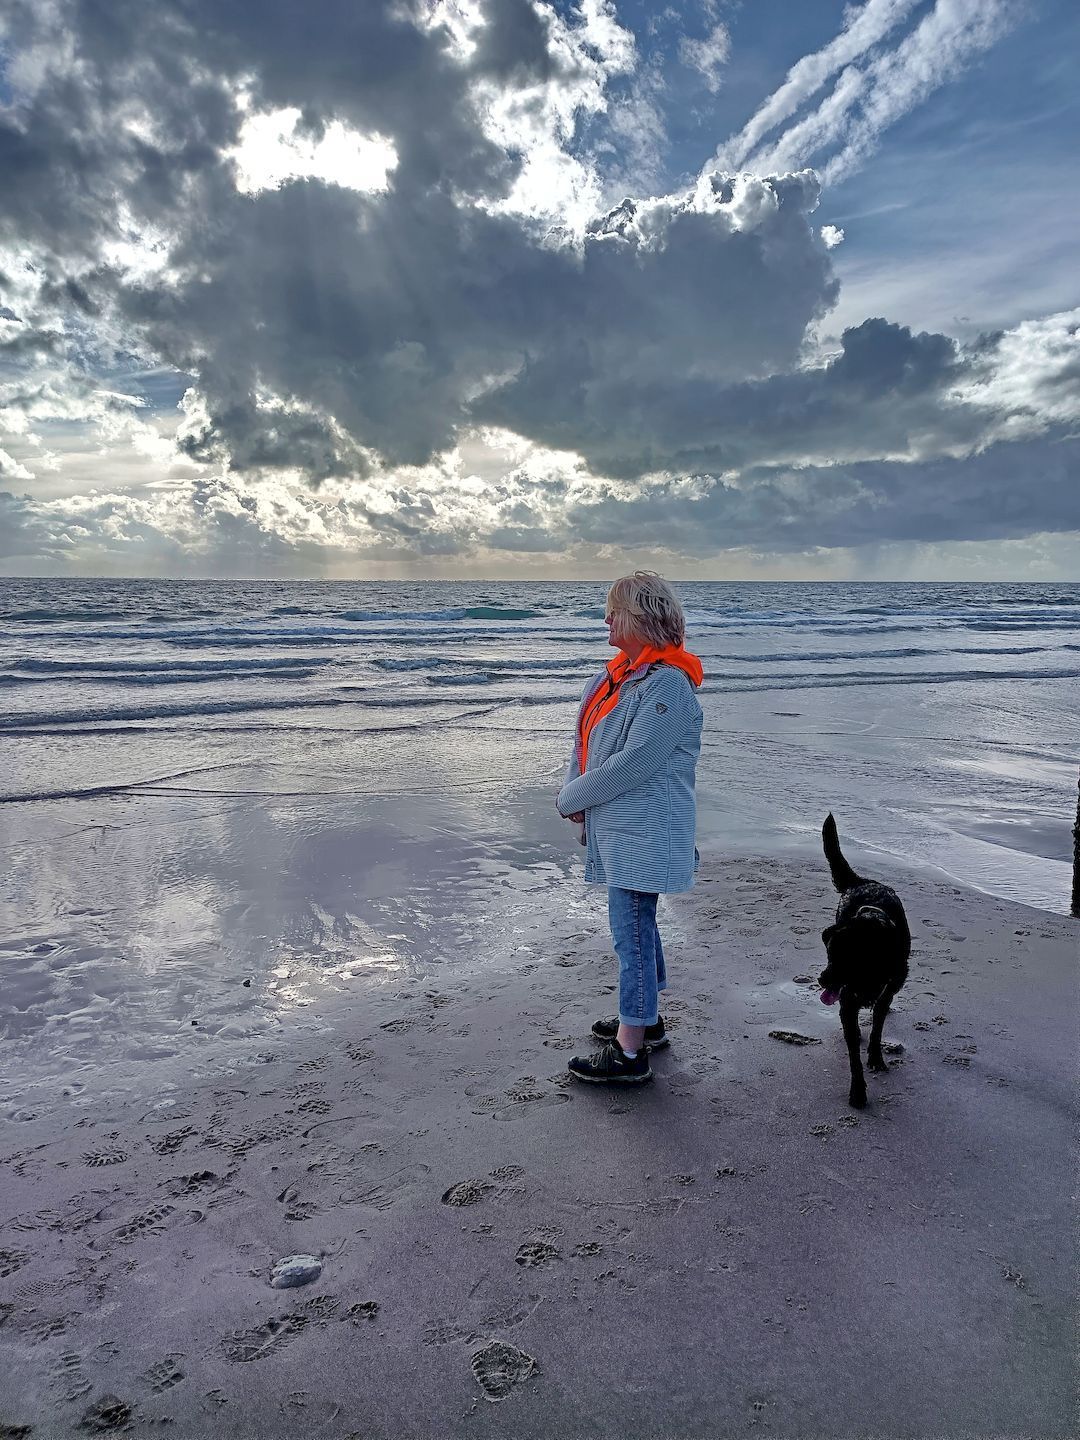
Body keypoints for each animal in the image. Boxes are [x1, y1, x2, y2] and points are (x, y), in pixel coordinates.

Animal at [818, 813, 910, 1109]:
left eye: (847, 957)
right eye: (829, 954)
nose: (821, 979)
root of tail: (862, 882)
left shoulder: (885, 990)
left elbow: (878, 1028)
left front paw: (876, 1057)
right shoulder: (847, 999)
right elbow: (853, 1057)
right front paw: (858, 1092)